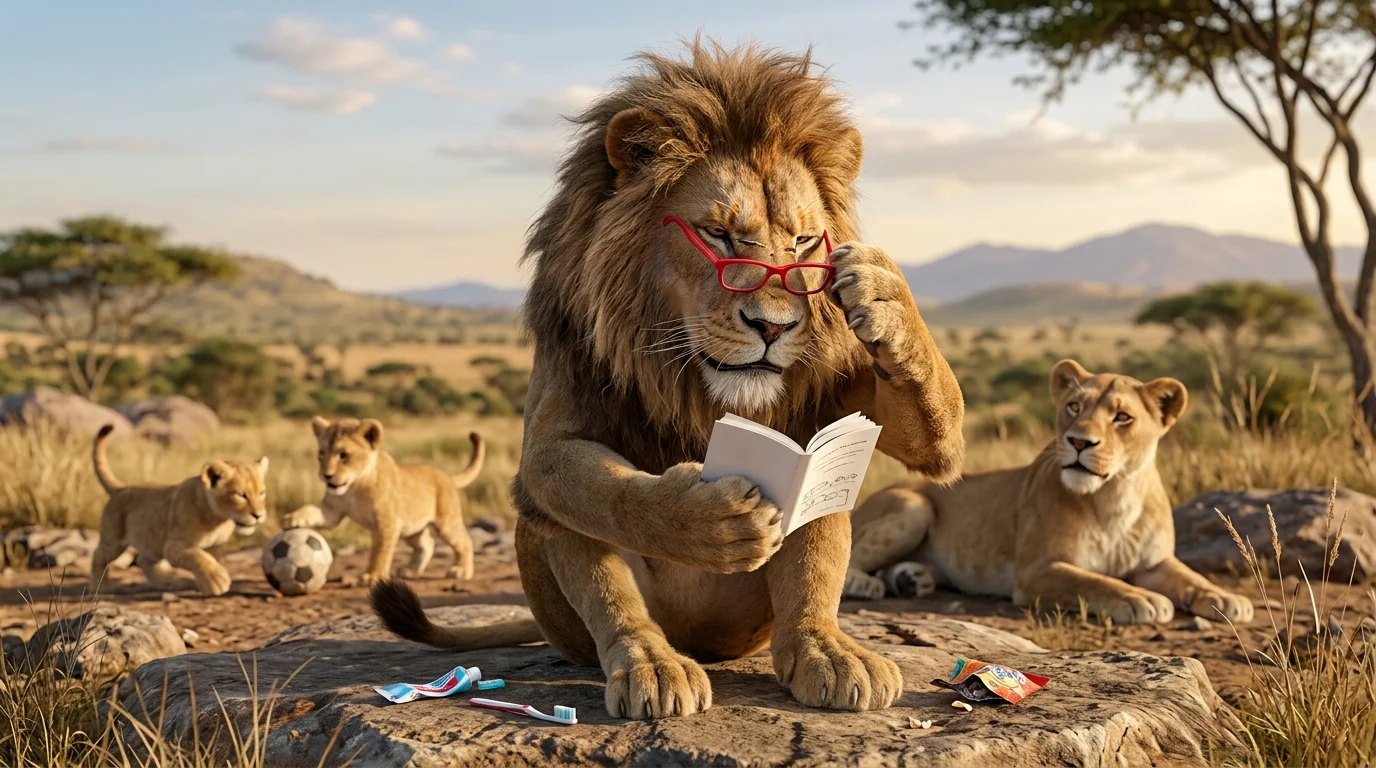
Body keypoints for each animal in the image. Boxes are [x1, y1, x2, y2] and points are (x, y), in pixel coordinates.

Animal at [89, 424, 269, 596]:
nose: (259, 516)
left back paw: (169, 582)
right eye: (241, 495)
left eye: (261, 493)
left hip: (152, 542)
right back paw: (102, 586)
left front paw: (206, 584)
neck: (217, 520)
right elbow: (198, 556)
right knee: (99, 556)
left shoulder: (216, 547)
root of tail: (121, 489)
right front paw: (216, 582)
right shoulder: (173, 546)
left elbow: (209, 558)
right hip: (114, 540)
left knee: (144, 561)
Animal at [279, 417, 482, 585]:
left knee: (464, 541)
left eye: (343, 455)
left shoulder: (386, 522)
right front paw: (291, 519)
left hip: (445, 524)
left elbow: (380, 551)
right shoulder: (331, 512)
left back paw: (461, 571)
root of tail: (447, 476)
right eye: (321, 453)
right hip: (411, 529)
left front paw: (372, 576)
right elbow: (311, 510)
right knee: (426, 545)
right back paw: (410, 570)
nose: (326, 475)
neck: (354, 486)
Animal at [369, 42, 966, 720]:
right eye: (720, 234)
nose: (775, 326)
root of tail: (697, 643)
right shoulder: (554, 428)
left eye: (803, 243)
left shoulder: (843, 393)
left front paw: (883, 292)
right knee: (582, 543)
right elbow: (608, 491)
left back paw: (826, 651)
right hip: (551, 551)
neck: (691, 382)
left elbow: (934, 431)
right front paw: (708, 520)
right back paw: (652, 666)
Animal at [843, 359, 1255, 627]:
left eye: (1122, 417)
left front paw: (1227, 599)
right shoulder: (1037, 570)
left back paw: (911, 579)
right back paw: (868, 583)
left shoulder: (1155, 562)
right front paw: (1140, 598)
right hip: (914, 505)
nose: (1079, 441)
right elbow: (1095, 581)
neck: (1113, 499)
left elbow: (1192, 577)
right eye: (1074, 406)